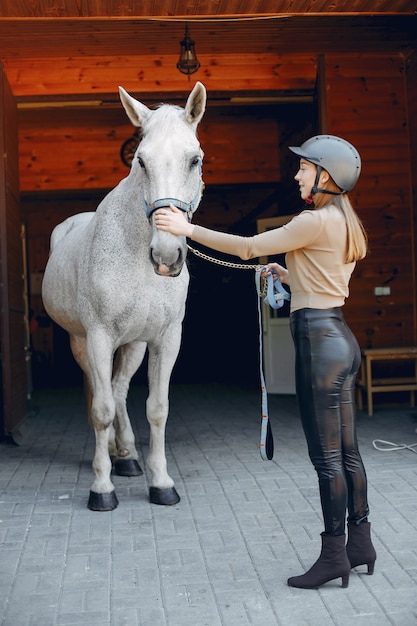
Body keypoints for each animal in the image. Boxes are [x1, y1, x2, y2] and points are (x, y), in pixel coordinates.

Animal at [42, 81, 206, 508]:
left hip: (132, 344)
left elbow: (157, 409)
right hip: (81, 341)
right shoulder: (99, 337)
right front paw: (101, 488)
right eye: (141, 161)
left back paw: (127, 455)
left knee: (117, 390)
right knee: (99, 394)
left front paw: (160, 482)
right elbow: (100, 410)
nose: (166, 255)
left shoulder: (165, 339)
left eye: (195, 160)